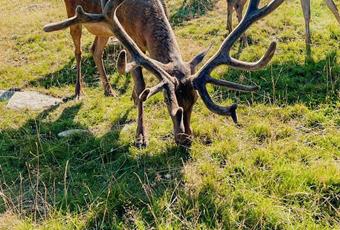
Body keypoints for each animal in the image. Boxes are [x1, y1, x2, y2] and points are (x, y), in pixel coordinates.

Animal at [44, 0, 284, 147]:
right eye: (169, 102)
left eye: (194, 101)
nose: (186, 138)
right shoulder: (130, 44)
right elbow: (142, 86)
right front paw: (140, 137)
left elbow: (139, 88)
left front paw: (132, 98)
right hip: (74, 15)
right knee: (78, 49)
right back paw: (78, 92)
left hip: (102, 30)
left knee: (95, 50)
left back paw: (109, 90)